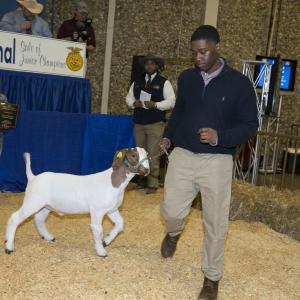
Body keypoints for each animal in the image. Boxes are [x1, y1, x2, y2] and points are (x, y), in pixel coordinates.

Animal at [4, 146, 150, 256]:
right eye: (133, 155)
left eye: (147, 155)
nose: (147, 170)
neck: (112, 183)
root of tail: (33, 177)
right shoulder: (97, 211)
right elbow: (98, 229)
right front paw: (101, 251)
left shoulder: (112, 210)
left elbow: (120, 224)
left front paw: (106, 241)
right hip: (33, 201)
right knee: (14, 218)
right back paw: (9, 247)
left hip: (45, 206)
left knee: (38, 219)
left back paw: (48, 237)